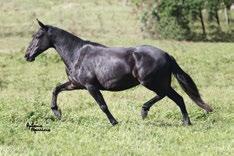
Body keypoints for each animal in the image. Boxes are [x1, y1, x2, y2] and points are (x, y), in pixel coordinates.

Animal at [24, 20, 213, 126]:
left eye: (37, 36)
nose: (27, 55)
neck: (77, 54)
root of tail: (166, 54)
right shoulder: (76, 84)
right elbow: (56, 89)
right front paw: (57, 113)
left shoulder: (90, 86)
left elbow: (102, 105)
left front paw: (114, 122)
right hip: (159, 83)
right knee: (177, 98)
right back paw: (185, 122)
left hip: (151, 82)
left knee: (168, 96)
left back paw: (145, 111)